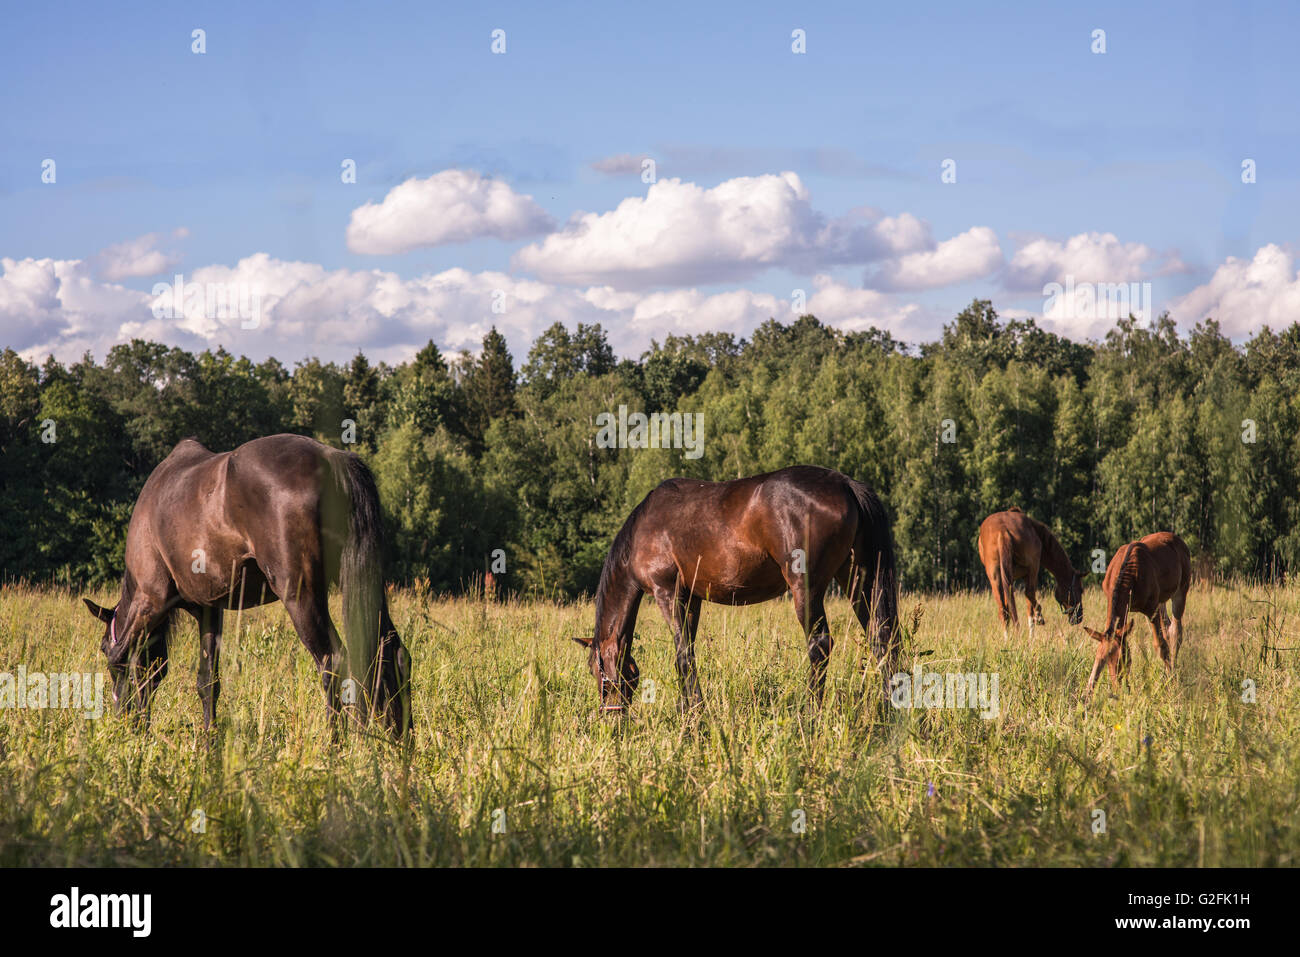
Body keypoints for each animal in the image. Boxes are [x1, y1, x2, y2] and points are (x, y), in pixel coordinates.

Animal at [82, 434, 411, 737]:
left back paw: (335, 744)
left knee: (333, 661)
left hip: (301, 597)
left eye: (101, 646)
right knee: (392, 653)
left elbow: (124, 658)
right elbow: (207, 681)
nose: (123, 722)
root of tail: (332, 458)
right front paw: (209, 742)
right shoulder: (208, 610)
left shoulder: (150, 600)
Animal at [572, 465, 899, 713]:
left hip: (807, 589)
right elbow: (687, 653)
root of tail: (845, 484)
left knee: (820, 645)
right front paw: (686, 710)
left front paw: (696, 714)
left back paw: (809, 713)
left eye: (596, 672)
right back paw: (888, 709)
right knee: (881, 637)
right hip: (857, 579)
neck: (643, 529)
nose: (609, 716)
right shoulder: (692, 598)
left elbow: (682, 655)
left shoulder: (668, 592)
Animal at [1082, 531, 1191, 696]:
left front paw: (1170, 683)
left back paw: (1174, 671)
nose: (1117, 688)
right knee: (1168, 627)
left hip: (1181, 591)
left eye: (1122, 658)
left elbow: (1161, 646)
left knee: (1175, 632)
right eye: (1105, 660)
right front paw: (1087, 693)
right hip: (1162, 601)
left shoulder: (1151, 608)